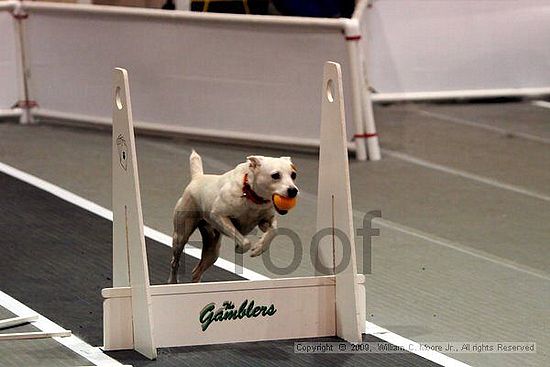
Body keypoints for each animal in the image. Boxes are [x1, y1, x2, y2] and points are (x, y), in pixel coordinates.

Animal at [168, 151, 300, 284]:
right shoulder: (219, 216)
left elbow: (273, 230)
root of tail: (197, 177)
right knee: (175, 262)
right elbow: (245, 242)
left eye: (293, 175)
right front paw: (240, 248)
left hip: (213, 251)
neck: (250, 195)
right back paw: (173, 281)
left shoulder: (265, 220)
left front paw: (259, 247)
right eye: (275, 175)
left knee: (196, 272)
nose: (293, 190)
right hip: (181, 236)